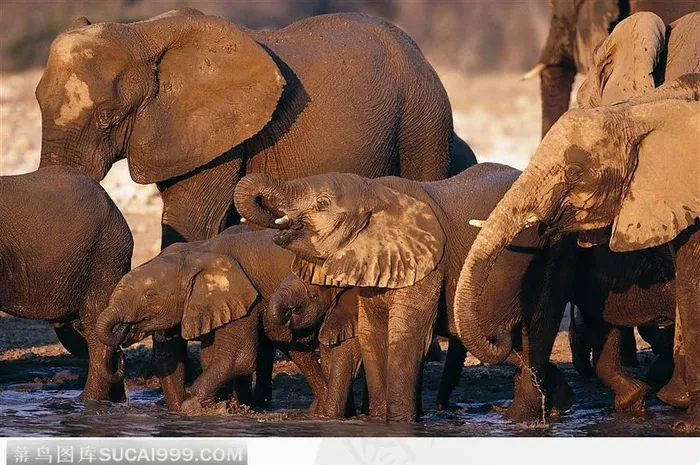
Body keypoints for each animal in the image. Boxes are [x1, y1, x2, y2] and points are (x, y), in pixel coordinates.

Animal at [36, 8, 475, 408]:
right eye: (38, 102)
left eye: (109, 116)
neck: (141, 33)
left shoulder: (216, 136)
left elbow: (189, 224)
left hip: (424, 124)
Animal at [234, 162, 575, 423]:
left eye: (322, 204)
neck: (375, 192)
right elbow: (371, 335)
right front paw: (377, 421)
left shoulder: (428, 264)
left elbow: (405, 336)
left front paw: (399, 423)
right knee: (518, 344)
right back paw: (559, 407)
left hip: (554, 251)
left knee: (537, 329)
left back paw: (521, 419)